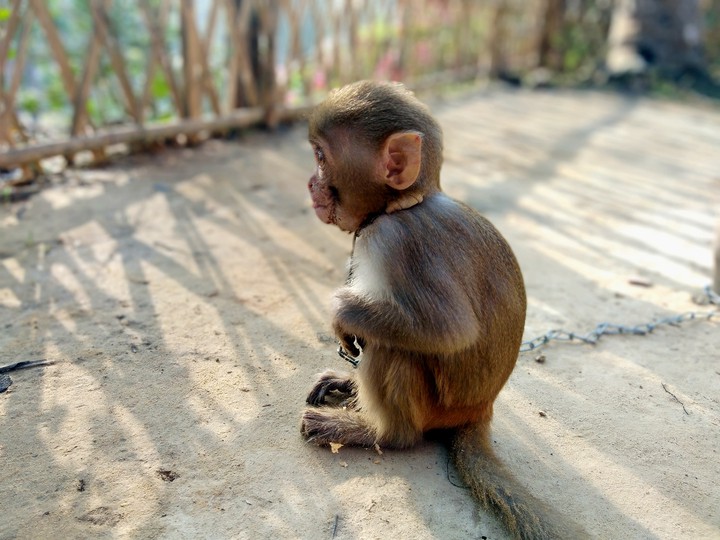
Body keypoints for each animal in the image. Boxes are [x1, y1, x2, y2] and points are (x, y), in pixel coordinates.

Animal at [301, 80, 583, 539]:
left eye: (322, 157)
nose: (310, 183)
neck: (403, 205)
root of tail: (480, 410)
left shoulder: (397, 242)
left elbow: (450, 329)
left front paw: (342, 313)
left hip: (434, 408)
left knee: (393, 348)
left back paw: (379, 432)